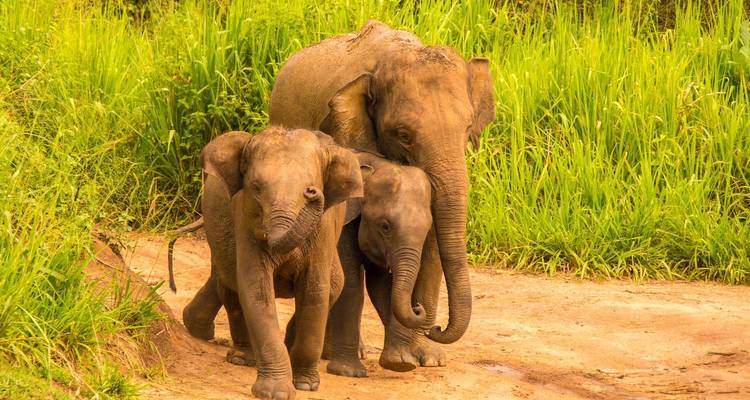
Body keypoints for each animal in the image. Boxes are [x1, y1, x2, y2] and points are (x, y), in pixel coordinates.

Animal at [170, 128, 363, 400]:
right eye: (256, 188)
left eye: (310, 188)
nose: (313, 193)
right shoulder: (244, 219)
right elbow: (256, 290)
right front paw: (275, 393)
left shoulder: (323, 230)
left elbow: (315, 291)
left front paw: (305, 385)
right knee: (231, 289)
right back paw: (242, 359)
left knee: (333, 287)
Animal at [325, 151, 444, 377]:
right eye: (385, 226)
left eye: (427, 230)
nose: (417, 306)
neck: (376, 166)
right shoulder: (345, 220)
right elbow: (351, 282)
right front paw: (349, 372)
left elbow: (380, 286)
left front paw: (400, 363)